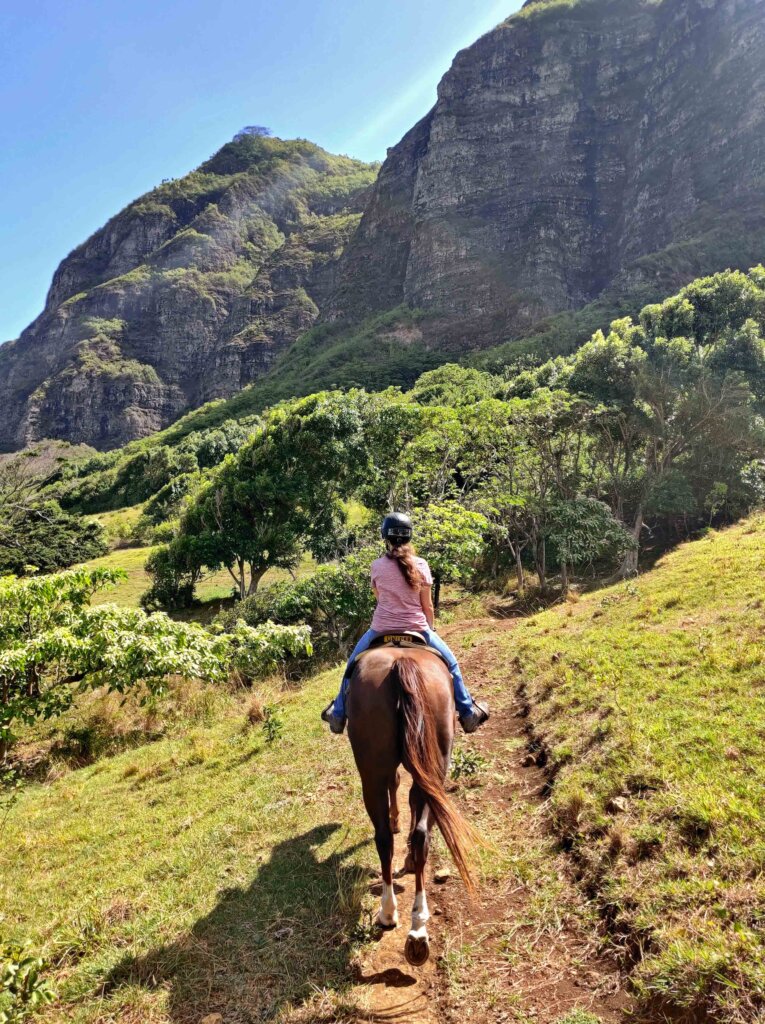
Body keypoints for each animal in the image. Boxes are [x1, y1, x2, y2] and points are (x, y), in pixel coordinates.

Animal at [348, 643, 479, 962]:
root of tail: (401, 664)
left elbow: (399, 789)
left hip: (374, 770)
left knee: (385, 837)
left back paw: (400, 919)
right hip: (434, 767)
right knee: (420, 834)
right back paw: (411, 922)